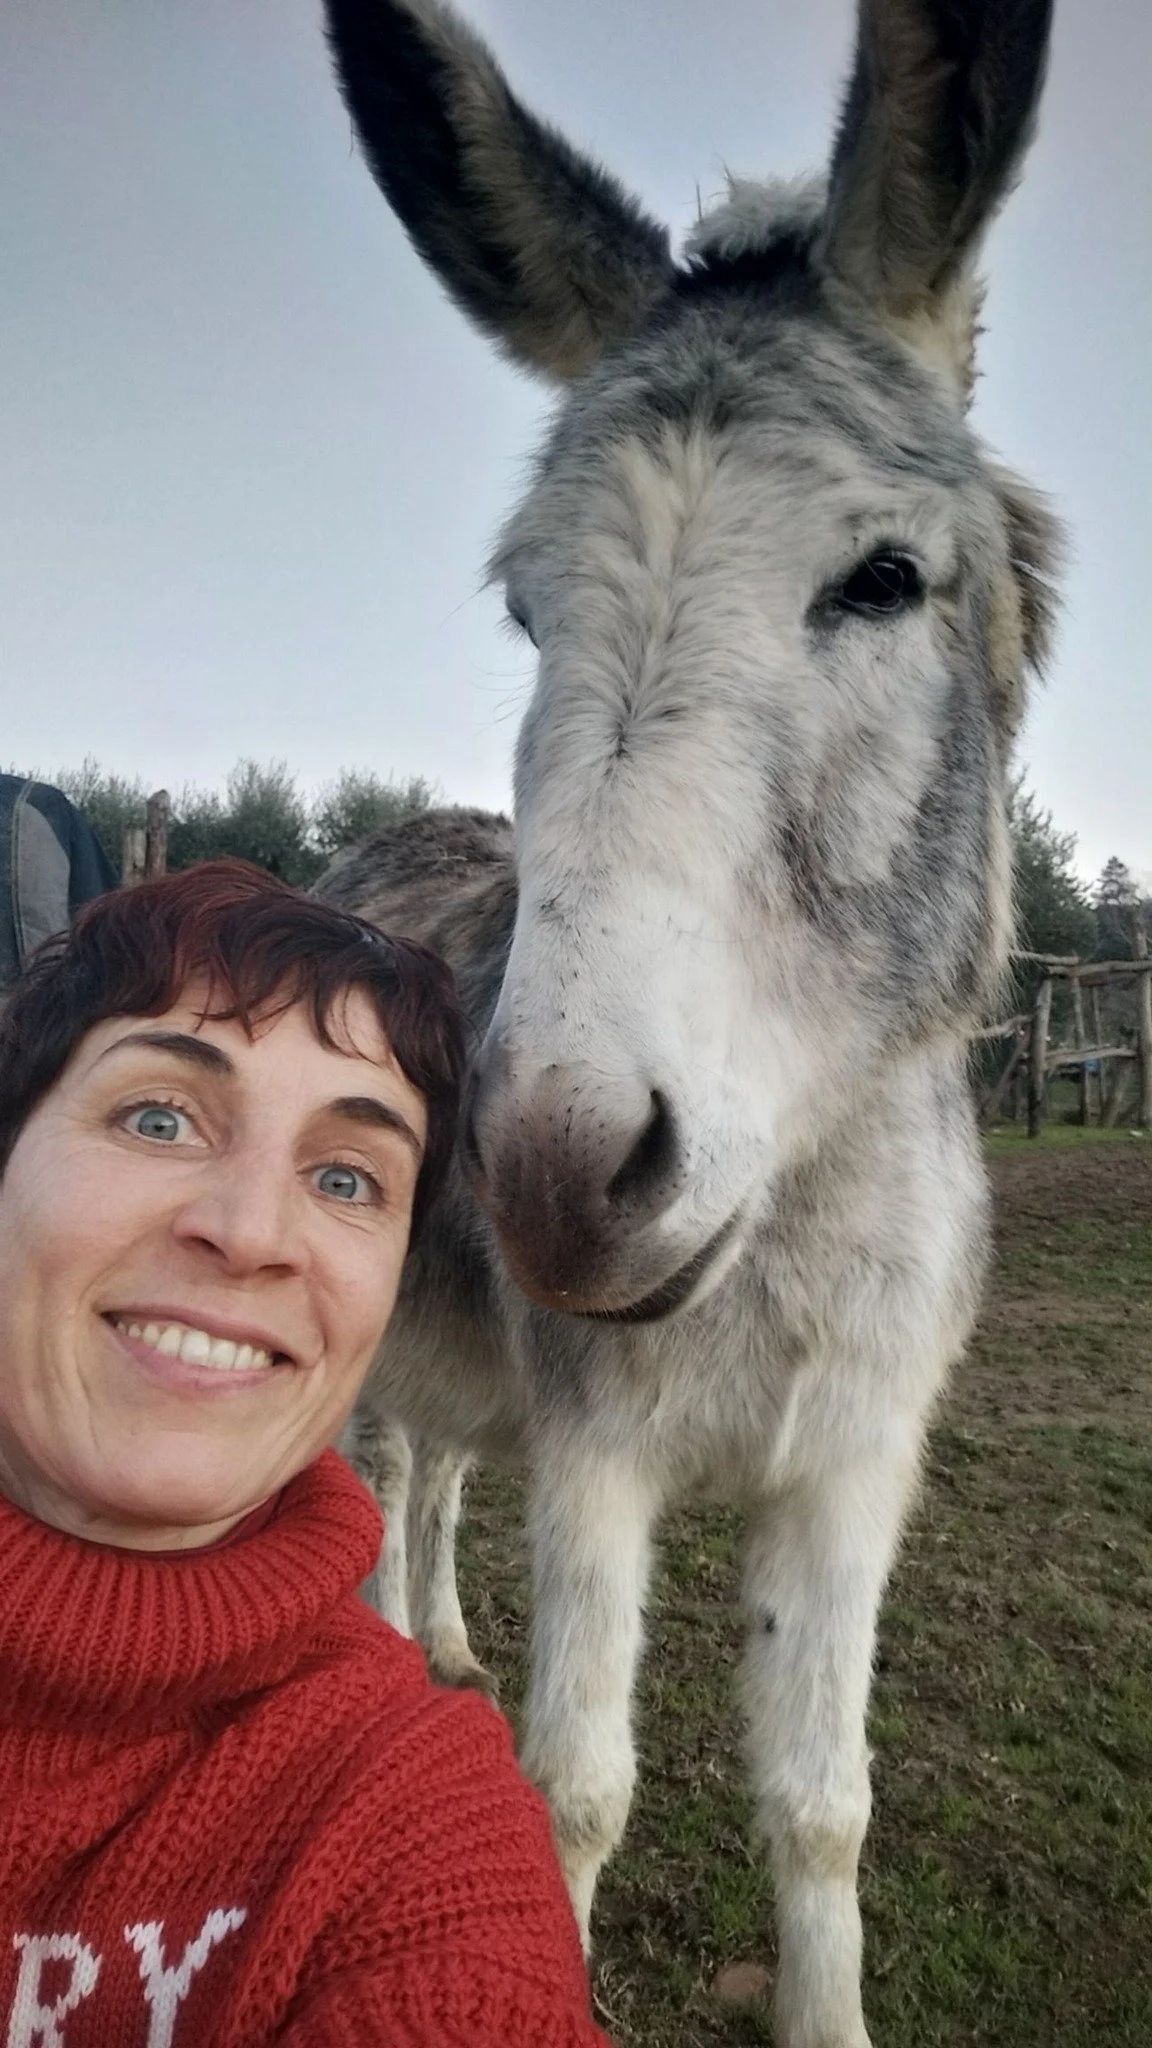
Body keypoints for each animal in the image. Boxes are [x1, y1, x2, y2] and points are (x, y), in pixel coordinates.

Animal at [317, 3, 1060, 2041]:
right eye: (524, 609)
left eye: (884, 580)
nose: (556, 1177)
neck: (789, 1209)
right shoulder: (600, 1454)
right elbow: (579, 1787)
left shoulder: (856, 1464)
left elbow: (821, 1806)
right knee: (383, 1462)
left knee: (434, 1463)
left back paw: (441, 1632)